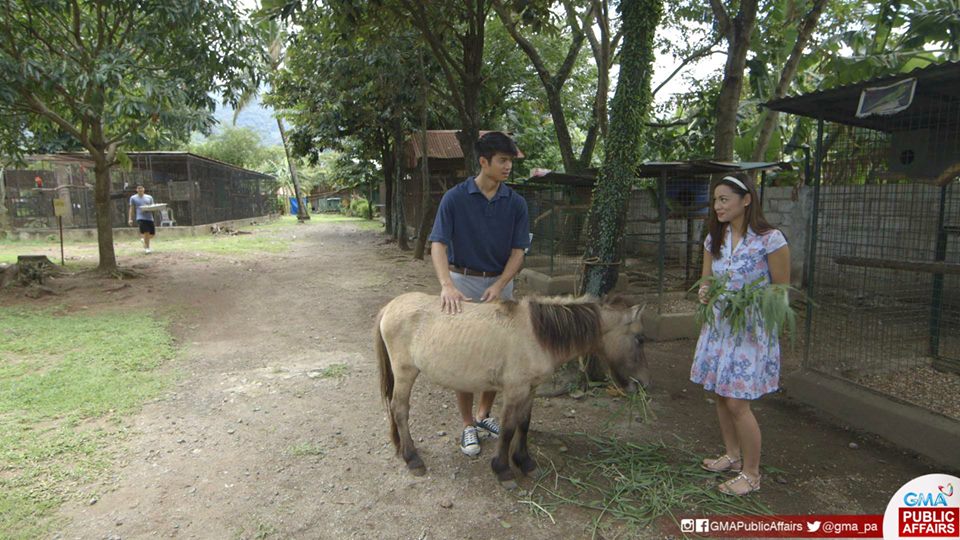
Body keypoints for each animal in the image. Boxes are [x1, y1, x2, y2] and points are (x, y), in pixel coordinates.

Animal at [375, 292, 649, 488]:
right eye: (640, 339)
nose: (642, 385)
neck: (536, 335)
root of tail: (389, 307)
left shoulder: (531, 390)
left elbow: (524, 424)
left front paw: (525, 462)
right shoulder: (514, 391)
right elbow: (508, 429)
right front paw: (503, 469)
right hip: (405, 373)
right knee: (399, 410)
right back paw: (412, 458)